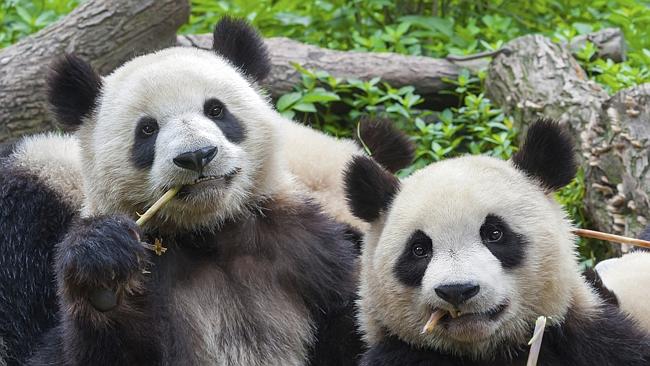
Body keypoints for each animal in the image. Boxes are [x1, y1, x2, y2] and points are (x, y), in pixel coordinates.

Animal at [0, 17, 420, 366]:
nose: (196, 155)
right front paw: (103, 270)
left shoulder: (308, 253)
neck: (209, 233)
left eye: (216, 110)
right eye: (147, 130)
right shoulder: (31, 229)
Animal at [342, 118, 648, 364]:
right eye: (419, 250)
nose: (457, 290)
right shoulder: (399, 352)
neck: (488, 350)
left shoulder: (587, 336)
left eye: (494, 234)